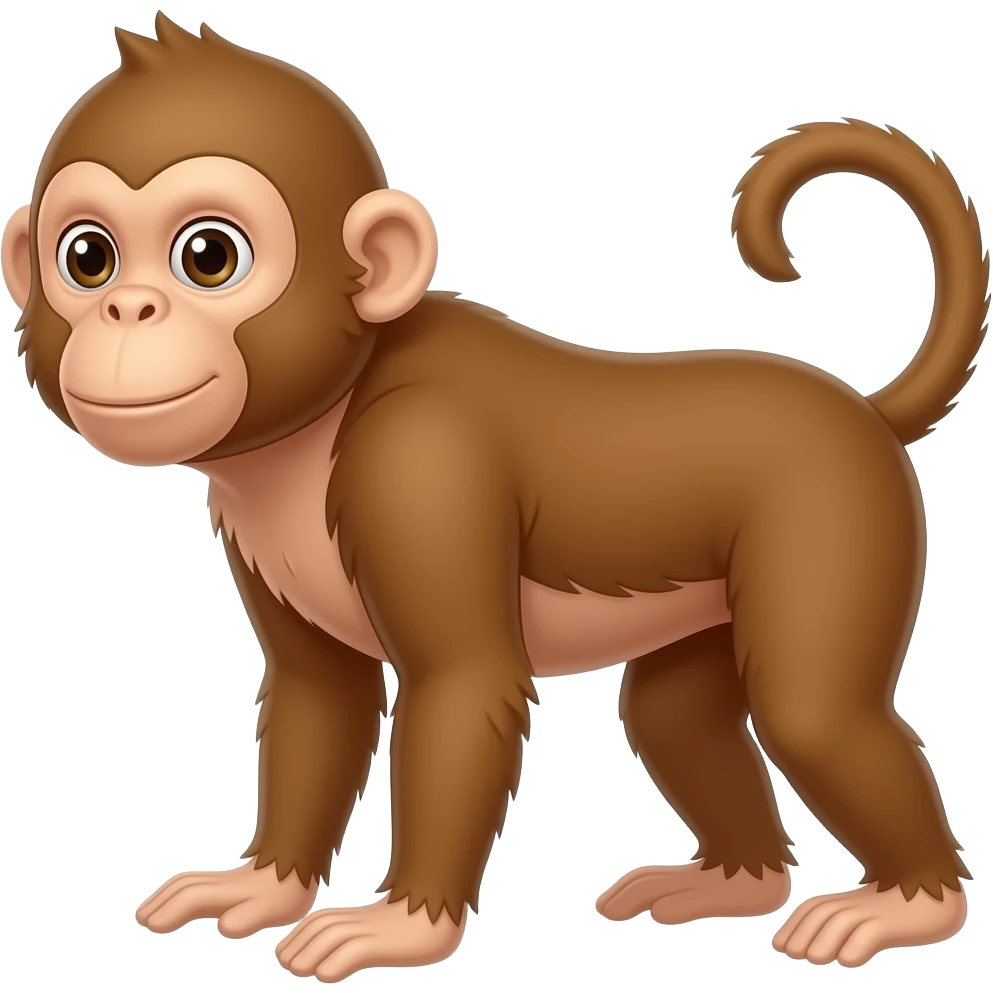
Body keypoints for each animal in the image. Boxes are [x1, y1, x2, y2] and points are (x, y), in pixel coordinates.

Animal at [1, 12, 986, 983]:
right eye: (87, 257)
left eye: (207, 257)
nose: (127, 310)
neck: (325, 414)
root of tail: (860, 411)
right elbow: (321, 694)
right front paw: (264, 885)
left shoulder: (420, 463)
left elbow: (462, 680)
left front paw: (402, 924)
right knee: (672, 717)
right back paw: (736, 882)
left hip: (834, 510)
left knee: (809, 710)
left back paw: (911, 903)